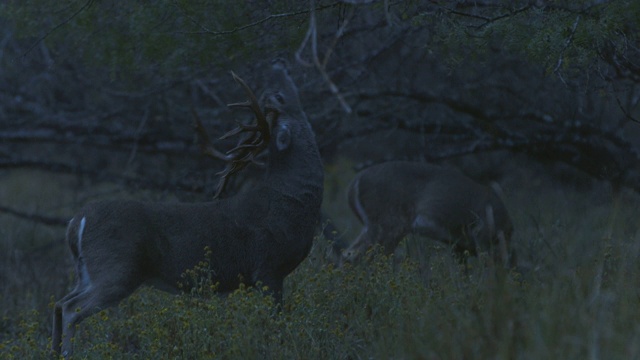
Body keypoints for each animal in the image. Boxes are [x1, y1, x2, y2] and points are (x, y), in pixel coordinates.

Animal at [51, 59, 324, 358]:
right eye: (280, 96)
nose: (277, 64)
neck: (292, 201)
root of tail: (77, 221)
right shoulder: (268, 268)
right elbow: (276, 324)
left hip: (87, 270)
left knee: (60, 303)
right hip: (118, 266)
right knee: (72, 308)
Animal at [336, 162, 516, 268]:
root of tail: (353, 185)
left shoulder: (458, 245)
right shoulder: (482, 236)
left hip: (375, 226)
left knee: (348, 254)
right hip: (388, 224)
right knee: (368, 258)